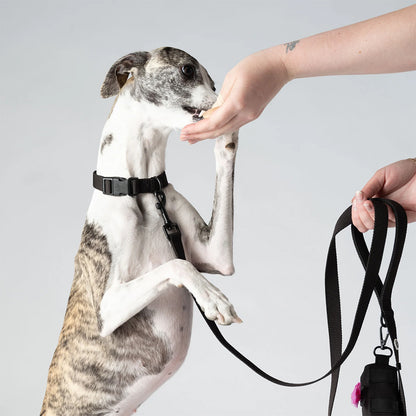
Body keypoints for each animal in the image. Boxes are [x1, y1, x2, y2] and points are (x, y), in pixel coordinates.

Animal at [39, 47, 240, 416]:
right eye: (187, 70)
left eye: (214, 82)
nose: (224, 99)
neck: (142, 187)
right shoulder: (107, 310)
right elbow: (178, 264)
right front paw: (212, 297)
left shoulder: (216, 256)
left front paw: (227, 136)